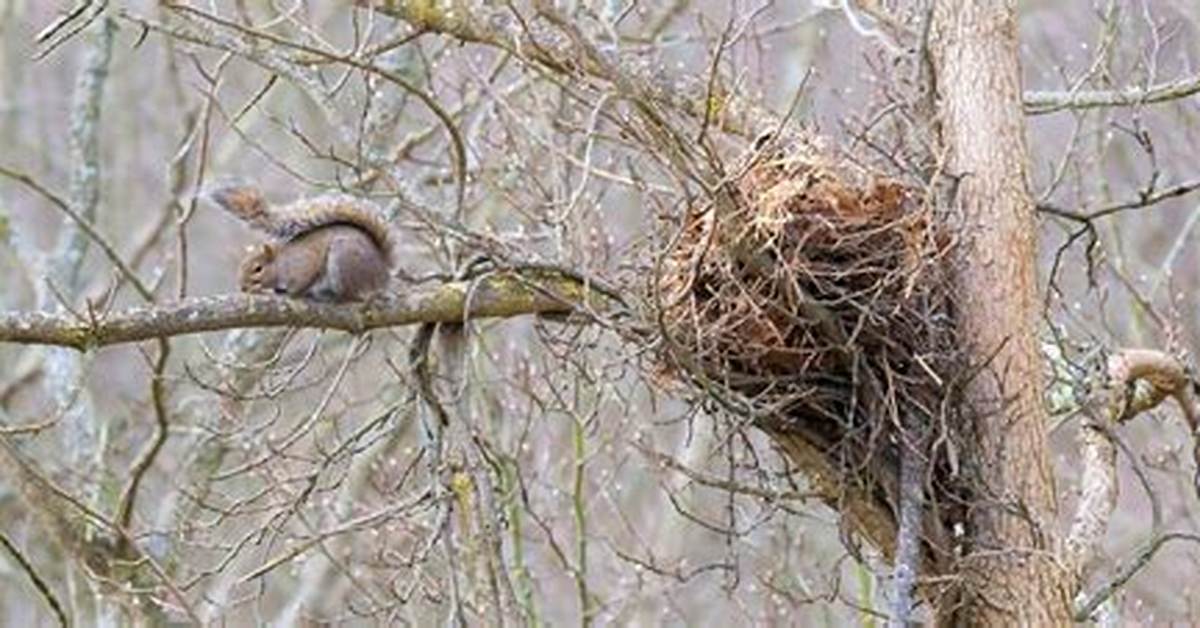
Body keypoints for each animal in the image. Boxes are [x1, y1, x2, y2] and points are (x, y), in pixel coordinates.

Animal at [209, 186, 395, 303]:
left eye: (258, 269)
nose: (242, 288)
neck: (281, 262)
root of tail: (382, 274)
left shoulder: (303, 265)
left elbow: (302, 281)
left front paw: (290, 293)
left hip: (343, 262)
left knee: (352, 295)